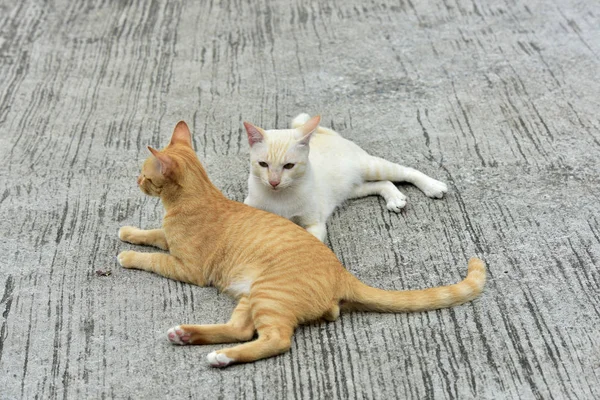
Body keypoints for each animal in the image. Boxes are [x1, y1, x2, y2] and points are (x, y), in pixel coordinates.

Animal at [241, 114, 448, 242]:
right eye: (263, 164)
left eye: (288, 166)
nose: (274, 182)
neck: (280, 196)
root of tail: (327, 134)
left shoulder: (314, 224)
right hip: (352, 189)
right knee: (384, 183)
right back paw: (395, 198)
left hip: (372, 167)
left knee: (407, 171)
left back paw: (433, 186)